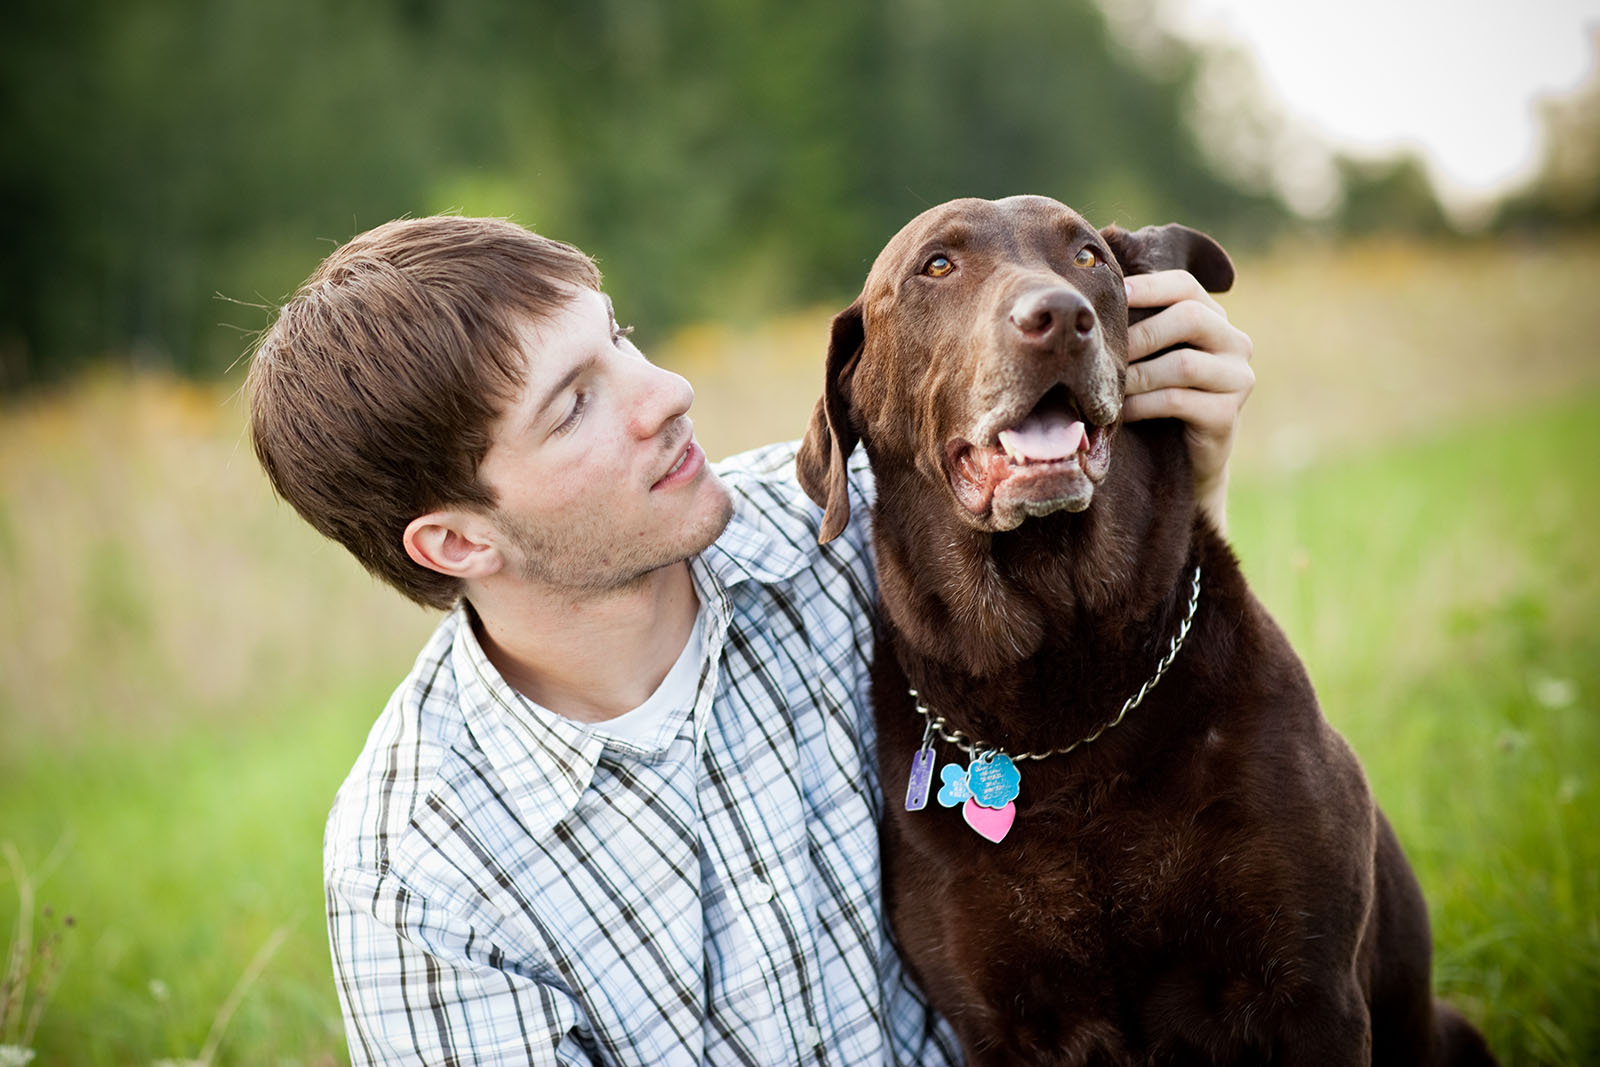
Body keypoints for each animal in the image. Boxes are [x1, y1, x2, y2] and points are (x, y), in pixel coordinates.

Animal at [793, 195, 1491, 1062]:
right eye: (938, 265)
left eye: (1088, 256)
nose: (1060, 318)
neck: (1059, 680)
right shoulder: (998, 1029)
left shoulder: (1311, 993)